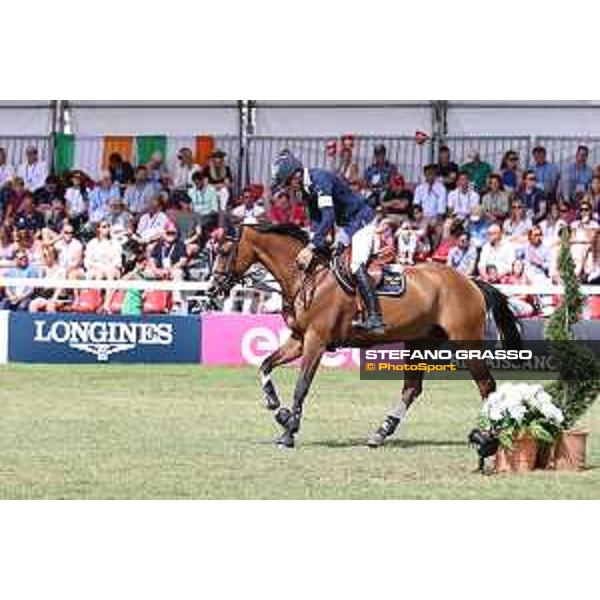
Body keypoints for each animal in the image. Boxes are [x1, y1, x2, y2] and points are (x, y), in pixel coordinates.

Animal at [212, 223, 520, 448]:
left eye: (225, 250)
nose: (214, 288)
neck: (307, 277)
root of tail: (470, 281)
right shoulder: (299, 339)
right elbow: (265, 365)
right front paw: (277, 408)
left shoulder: (316, 341)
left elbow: (301, 386)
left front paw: (289, 432)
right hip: (419, 342)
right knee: (412, 388)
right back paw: (381, 432)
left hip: (465, 342)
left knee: (487, 386)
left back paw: (488, 434)